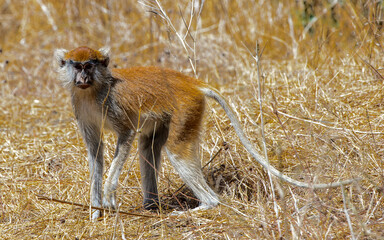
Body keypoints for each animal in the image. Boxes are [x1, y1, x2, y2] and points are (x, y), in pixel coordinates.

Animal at [54, 46, 356, 219]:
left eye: (89, 65)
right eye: (76, 66)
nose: (82, 78)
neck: (94, 89)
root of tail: (191, 83)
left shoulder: (112, 105)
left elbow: (126, 136)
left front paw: (108, 196)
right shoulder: (81, 108)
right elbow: (96, 153)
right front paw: (95, 211)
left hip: (187, 108)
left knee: (175, 151)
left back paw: (204, 206)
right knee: (148, 147)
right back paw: (151, 206)